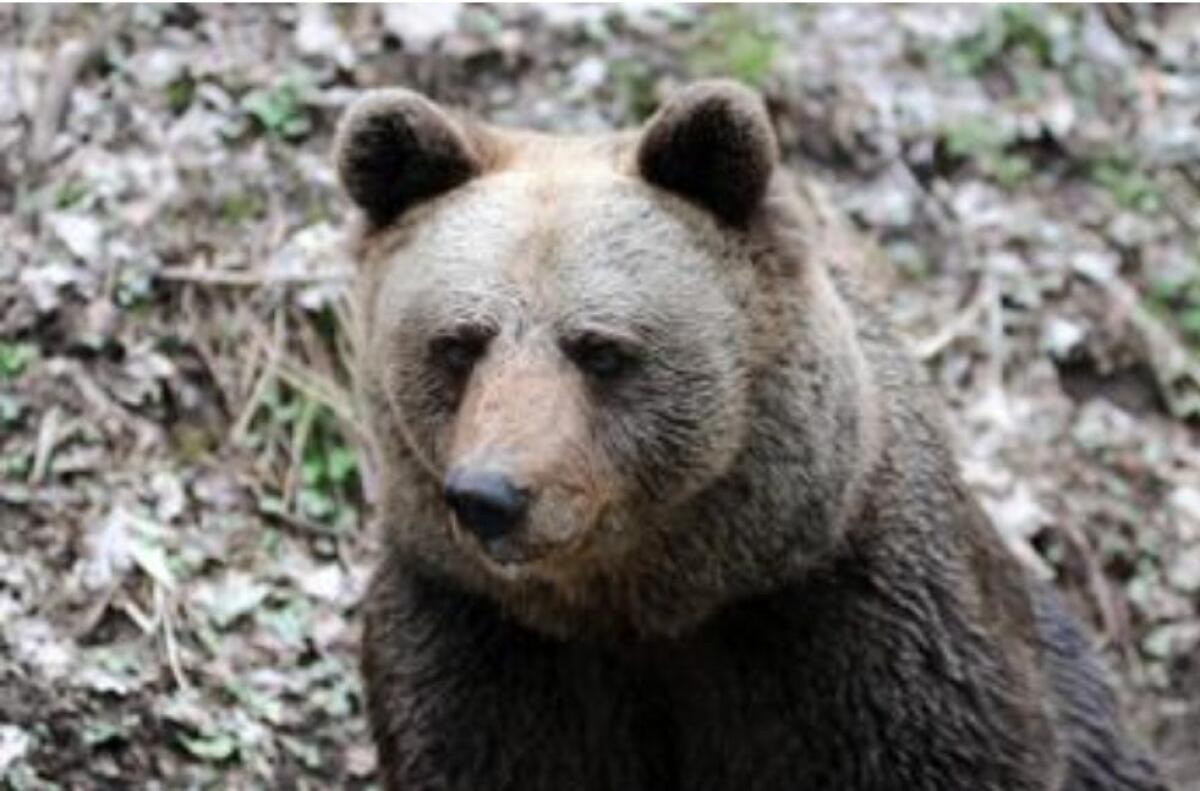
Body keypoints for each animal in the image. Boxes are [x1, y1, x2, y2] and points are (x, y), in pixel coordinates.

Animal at [334, 80, 1166, 791]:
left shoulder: (860, 638)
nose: (491, 495)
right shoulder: (485, 642)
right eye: (458, 343)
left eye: (600, 349)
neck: (649, 601)